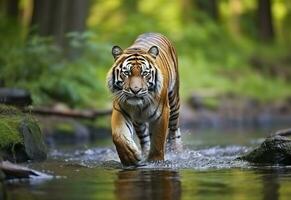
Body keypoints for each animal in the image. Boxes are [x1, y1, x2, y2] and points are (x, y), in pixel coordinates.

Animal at [107, 32, 181, 166]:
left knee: (174, 130)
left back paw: (176, 151)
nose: (135, 90)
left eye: (145, 73)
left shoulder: (162, 113)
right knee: (145, 139)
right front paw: (129, 156)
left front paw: (156, 161)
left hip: (174, 102)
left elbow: (158, 141)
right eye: (126, 73)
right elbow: (118, 135)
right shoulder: (120, 109)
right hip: (138, 121)